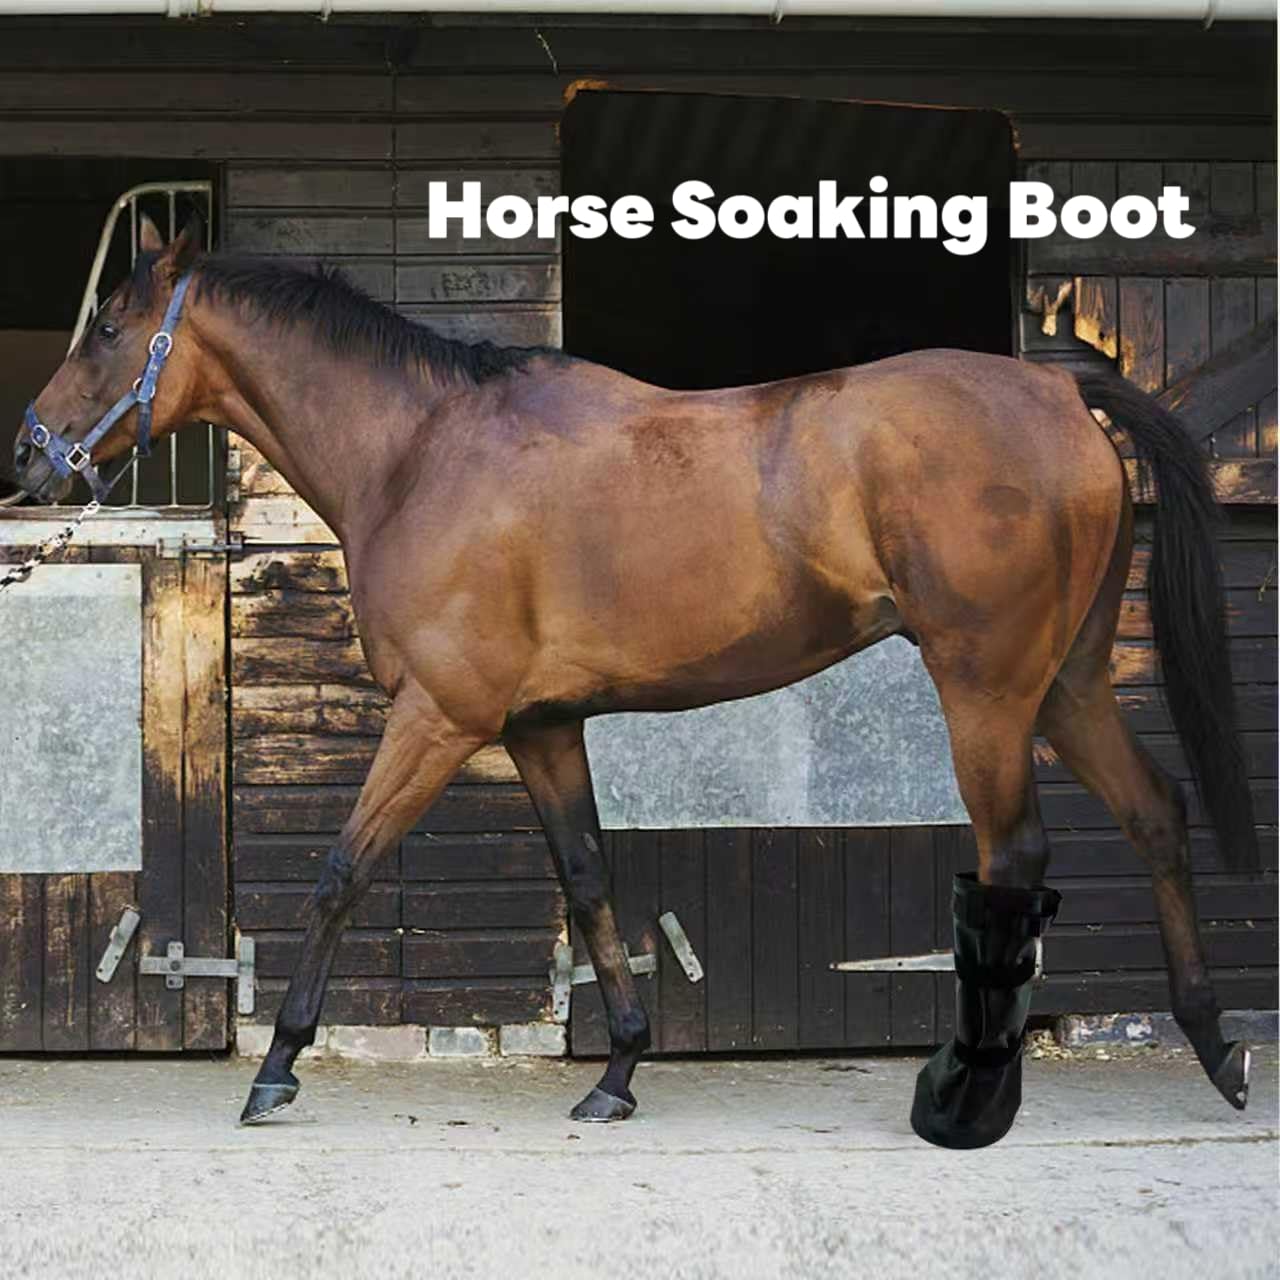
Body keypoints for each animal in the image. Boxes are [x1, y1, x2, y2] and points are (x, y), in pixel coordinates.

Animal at [13, 215, 1257, 1147]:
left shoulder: (438, 719)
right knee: (1153, 812)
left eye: (110, 326)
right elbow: (587, 877)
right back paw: (1213, 1047)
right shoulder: (541, 725)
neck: (421, 452)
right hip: (1065, 685)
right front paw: (615, 1068)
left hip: (988, 691)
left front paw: (275, 1064)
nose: (30, 453)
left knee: (1013, 861)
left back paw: (975, 1090)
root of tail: (1060, 398)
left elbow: (339, 873)